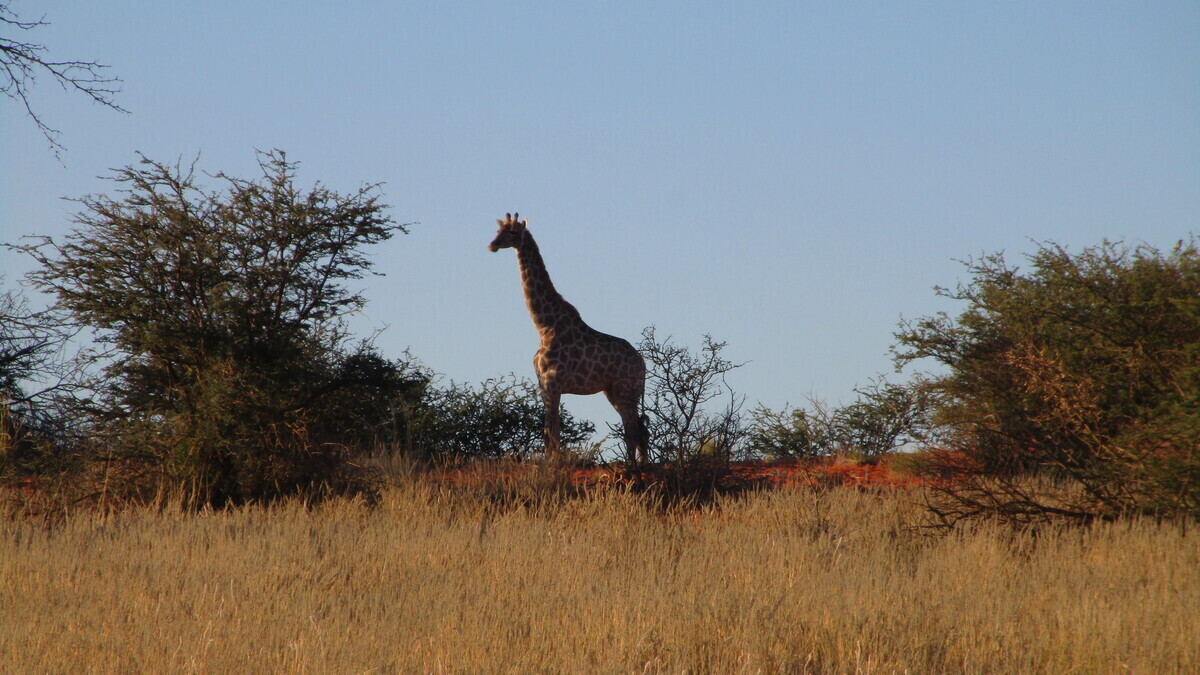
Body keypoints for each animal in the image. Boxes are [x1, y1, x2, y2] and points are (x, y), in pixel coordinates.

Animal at [489, 212, 649, 464]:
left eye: (512, 232)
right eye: (498, 230)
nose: (492, 245)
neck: (544, 326)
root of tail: (642, 363)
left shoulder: (553, 383)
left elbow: (551, 432)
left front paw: (551, 465)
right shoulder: (543, 385)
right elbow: (551, 431)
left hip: (626, 388)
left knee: (633, 429)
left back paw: (633, 467)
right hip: (613, 391)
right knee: (639, 428)